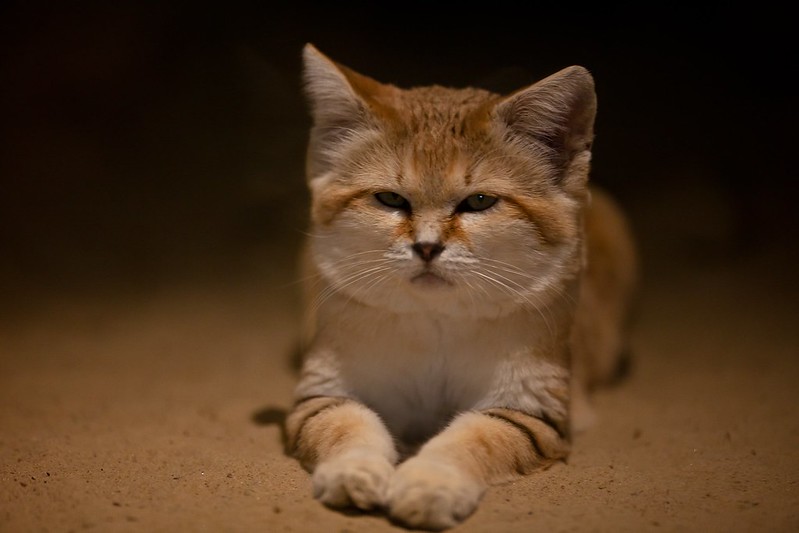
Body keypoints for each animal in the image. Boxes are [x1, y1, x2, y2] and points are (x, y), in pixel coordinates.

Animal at [286, 43, 636, 528]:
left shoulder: (531, 410)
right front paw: (354, 471)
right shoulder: (322, 393)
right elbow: (346, 423)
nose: (427, 247)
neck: (436, 322)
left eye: (480, 202)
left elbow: (475, 435)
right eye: (390, 199)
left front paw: (429, 483)